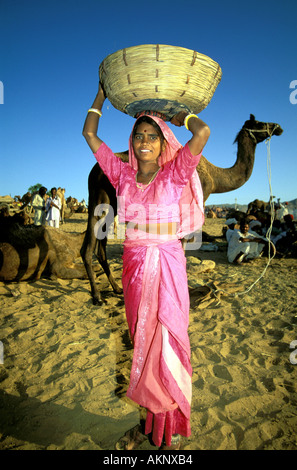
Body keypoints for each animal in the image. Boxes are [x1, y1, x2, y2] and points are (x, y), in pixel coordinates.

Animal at [80, 114, 282, 304]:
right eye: (259, 123)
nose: (278, 127)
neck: (215, 178)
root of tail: (93, 172)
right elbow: (183, 245)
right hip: (100, 202)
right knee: (89, 246)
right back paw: (97, 296)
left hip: (108, 205)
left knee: (100, 247)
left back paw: (116, 288)